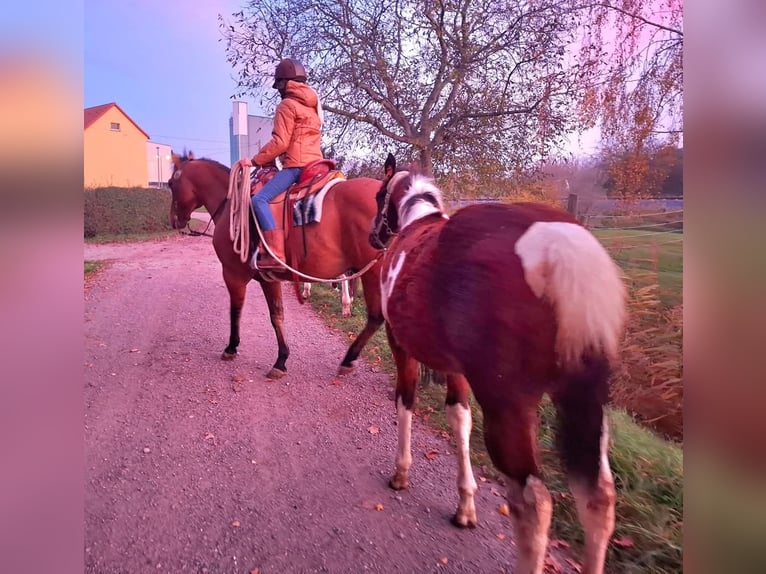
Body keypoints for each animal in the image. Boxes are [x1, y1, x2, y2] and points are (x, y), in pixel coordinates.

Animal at [168, 151, 384, 380]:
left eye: (171, 183)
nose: (174, 220)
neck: (233, 206)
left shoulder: (233, 274)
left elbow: (236, 310)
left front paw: (231, 347)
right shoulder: (269, 278)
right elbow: (277, 315)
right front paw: (281, 360)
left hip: (374, 272)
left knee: (375, 317)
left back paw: (348, 358)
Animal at [372, 154, 632, 574]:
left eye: (379, 194)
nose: (374, 237)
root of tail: (556, 242)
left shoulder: (402, 346)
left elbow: (405, 403)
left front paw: (401, 473)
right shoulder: (457, 367)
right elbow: (459, 418)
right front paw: (465, 505)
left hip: (509, 402)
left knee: (533, 502)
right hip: (587, 399)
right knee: (599, 497)